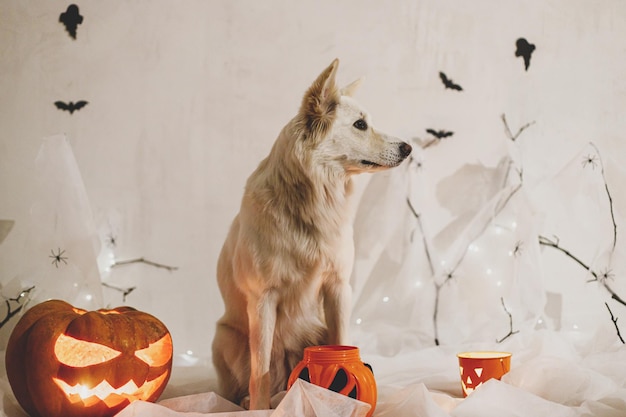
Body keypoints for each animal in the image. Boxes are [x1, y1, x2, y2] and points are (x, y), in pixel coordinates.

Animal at [212, 59, 412, 410]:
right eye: (360, 124)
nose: (408, 148)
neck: (313, 200)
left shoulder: (338, 289)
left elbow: (344, 345)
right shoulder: (263, 298)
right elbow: (260, 366)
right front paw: (260, 409)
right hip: (224, 337)